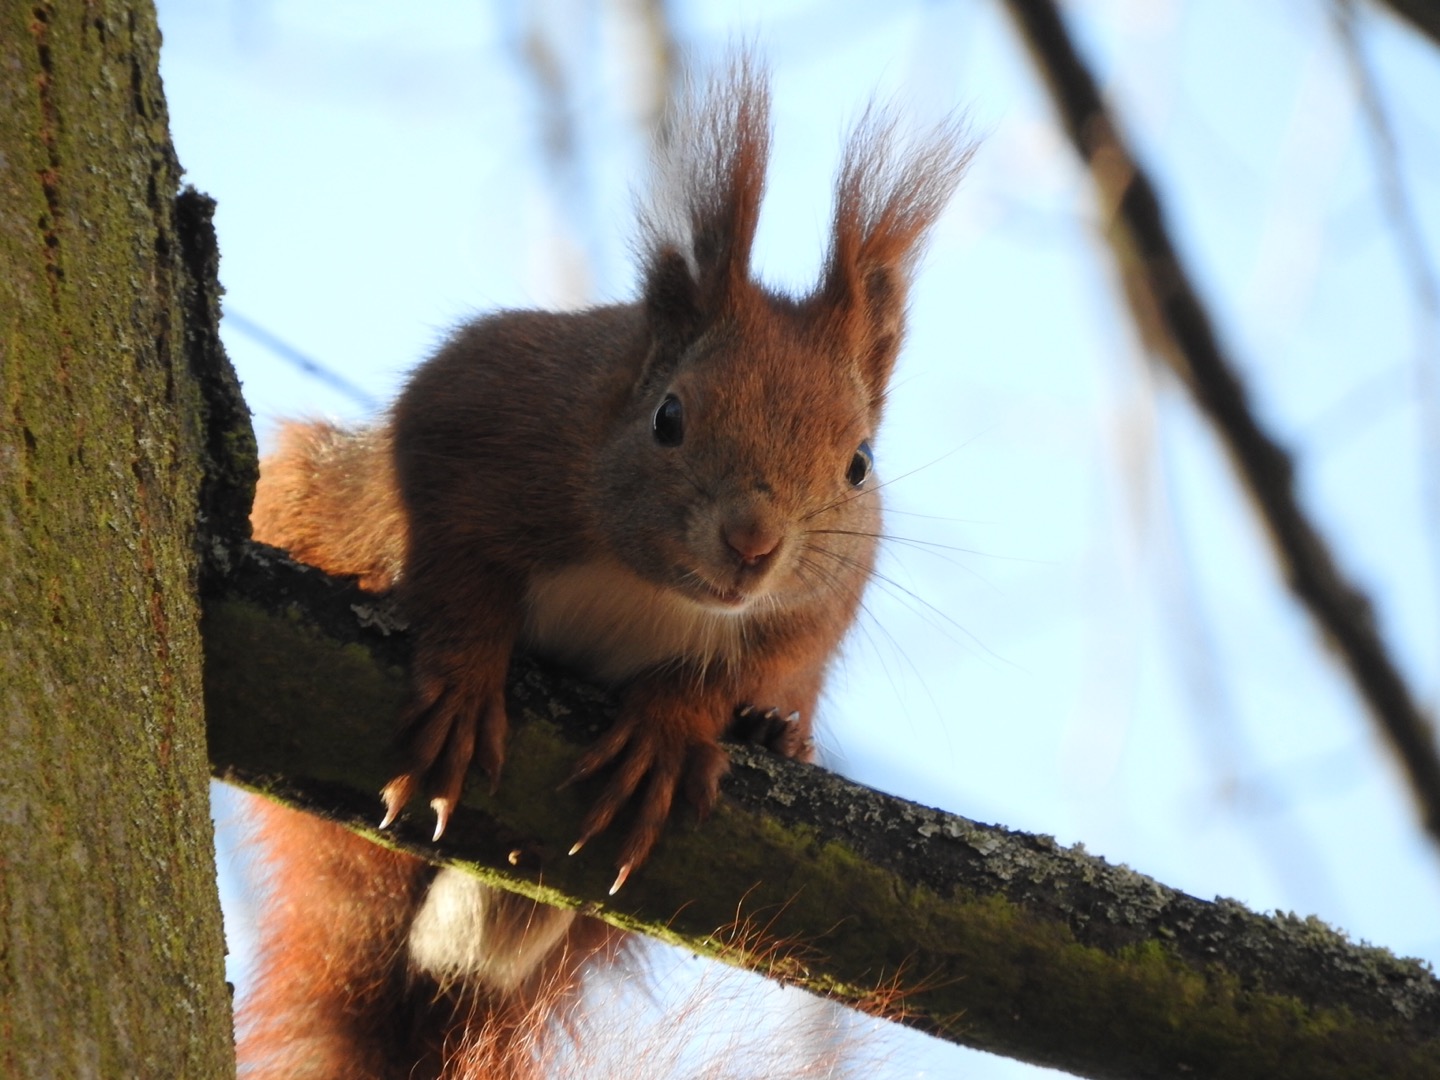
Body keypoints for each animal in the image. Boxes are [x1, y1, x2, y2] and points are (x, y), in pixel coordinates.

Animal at [241, 59, 973, 1080]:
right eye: (668, 416)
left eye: (859, 464)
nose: (753, 543)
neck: (652, 587)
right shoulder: (484, 404)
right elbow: (454, 550)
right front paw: (467, 675)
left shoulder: (817, 607)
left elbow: (755, 658)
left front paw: (678, 723)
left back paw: (767, 733)